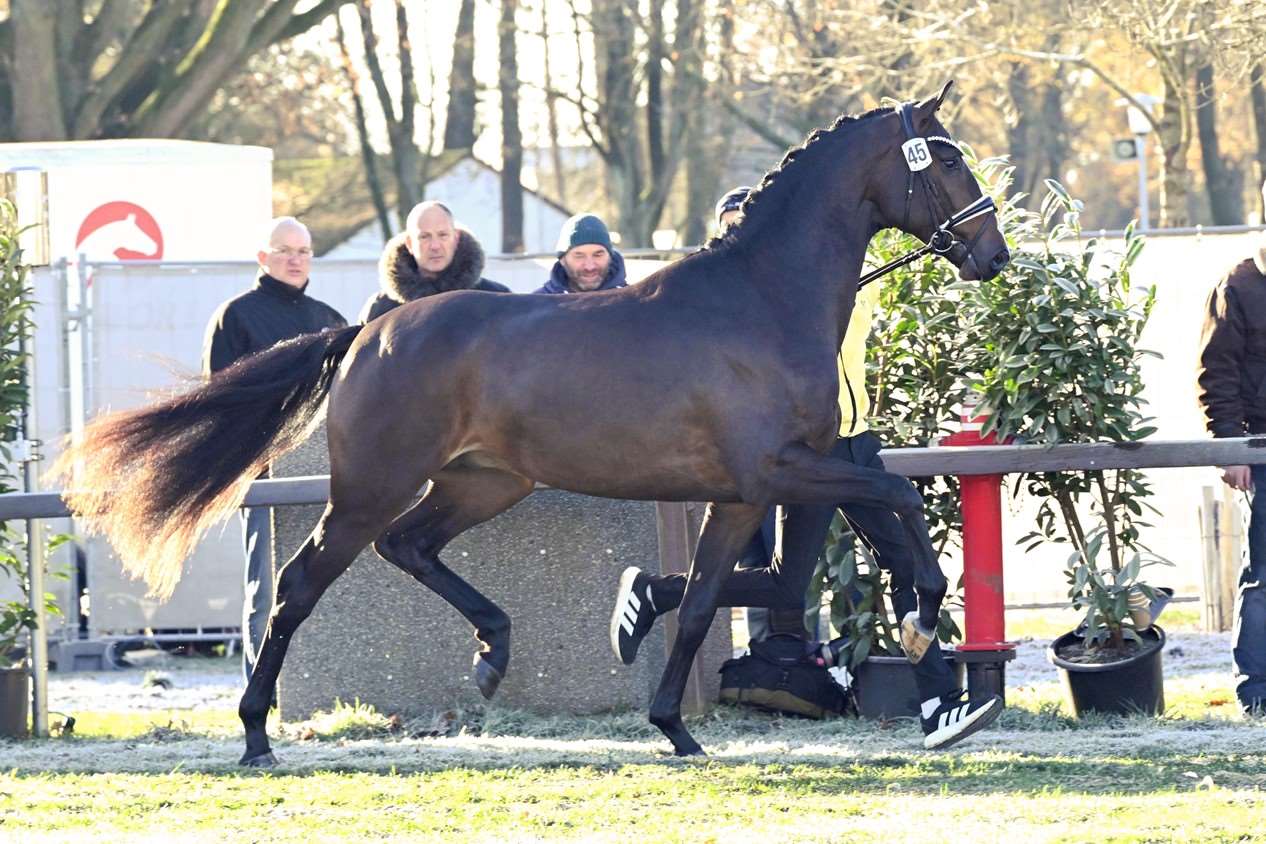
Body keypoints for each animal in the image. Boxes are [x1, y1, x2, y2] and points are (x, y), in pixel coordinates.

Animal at [53, 82, 1009, 764]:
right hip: (372, 486)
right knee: (301, 582)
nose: (994, 256)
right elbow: (898, 496)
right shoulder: (778, 471)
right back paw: (256, 733)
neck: (761, 302)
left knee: (410, 547)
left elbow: (704, 600)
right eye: (947, 164)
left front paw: (674, 725)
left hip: (485, 484)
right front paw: (922, 617)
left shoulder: (743, 494)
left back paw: (493, 652)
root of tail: (370, 329)